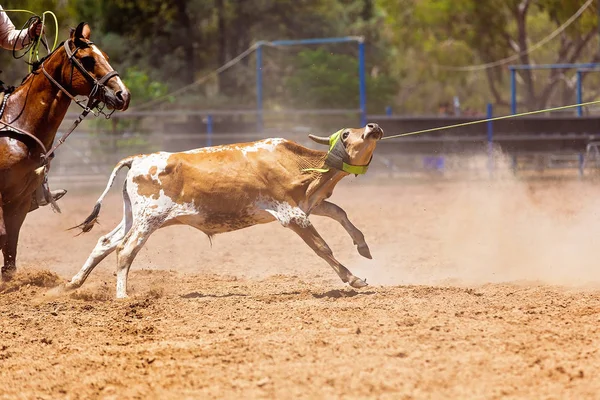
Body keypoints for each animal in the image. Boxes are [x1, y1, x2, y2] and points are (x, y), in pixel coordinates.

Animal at [0, 21, 131, 278]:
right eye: (88, 59)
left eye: (106, 56)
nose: (123, 95)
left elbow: (10, 247)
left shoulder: (19, 200)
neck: (19, 126)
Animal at [67, 123, 384, 298]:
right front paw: (354, 279)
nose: (372, 126)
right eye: (347, 133)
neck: (297, 164)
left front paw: (363, 246)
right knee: (125, 250)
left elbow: (340, 213)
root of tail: (139, 159)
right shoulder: (291, 215)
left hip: (133, 215)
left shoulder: (310, 204)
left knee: (106, 242)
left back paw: (73, 284)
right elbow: (322, 247)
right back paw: (122, 297)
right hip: (149, 219)